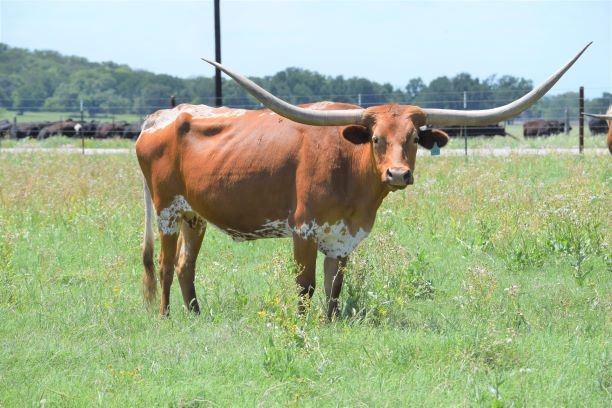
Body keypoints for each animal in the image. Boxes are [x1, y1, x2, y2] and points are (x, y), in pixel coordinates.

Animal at [135, 44, 589, 319]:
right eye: (375, 139)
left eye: (414, 139)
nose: (398, 174)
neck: (350, 176)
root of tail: (160, 116)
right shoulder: (303, 229)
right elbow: (305, 287)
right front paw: (301, 327)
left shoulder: (343, 237)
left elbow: (334, 287)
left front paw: (331, 325)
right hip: (167, 211)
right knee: (164, 264)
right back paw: (167, 318)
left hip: (195, 215)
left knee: (185, 266)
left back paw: (197, 315)